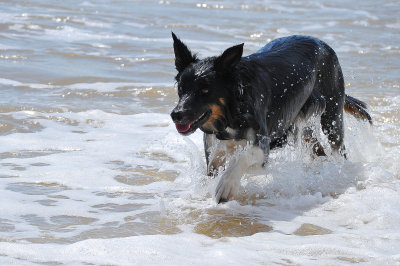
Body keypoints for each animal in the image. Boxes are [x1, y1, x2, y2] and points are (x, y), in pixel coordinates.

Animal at [170, 33, 372, 204]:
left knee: (338, 148)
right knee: (318, 149)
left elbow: (242, 158)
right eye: (181, 88)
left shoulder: (263, 142)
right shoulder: (213, 148)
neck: (234, 110)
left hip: (331, 116)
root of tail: (321, 42)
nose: (176, 114)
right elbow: (214, 166)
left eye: (205, 91)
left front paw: (227, 185)